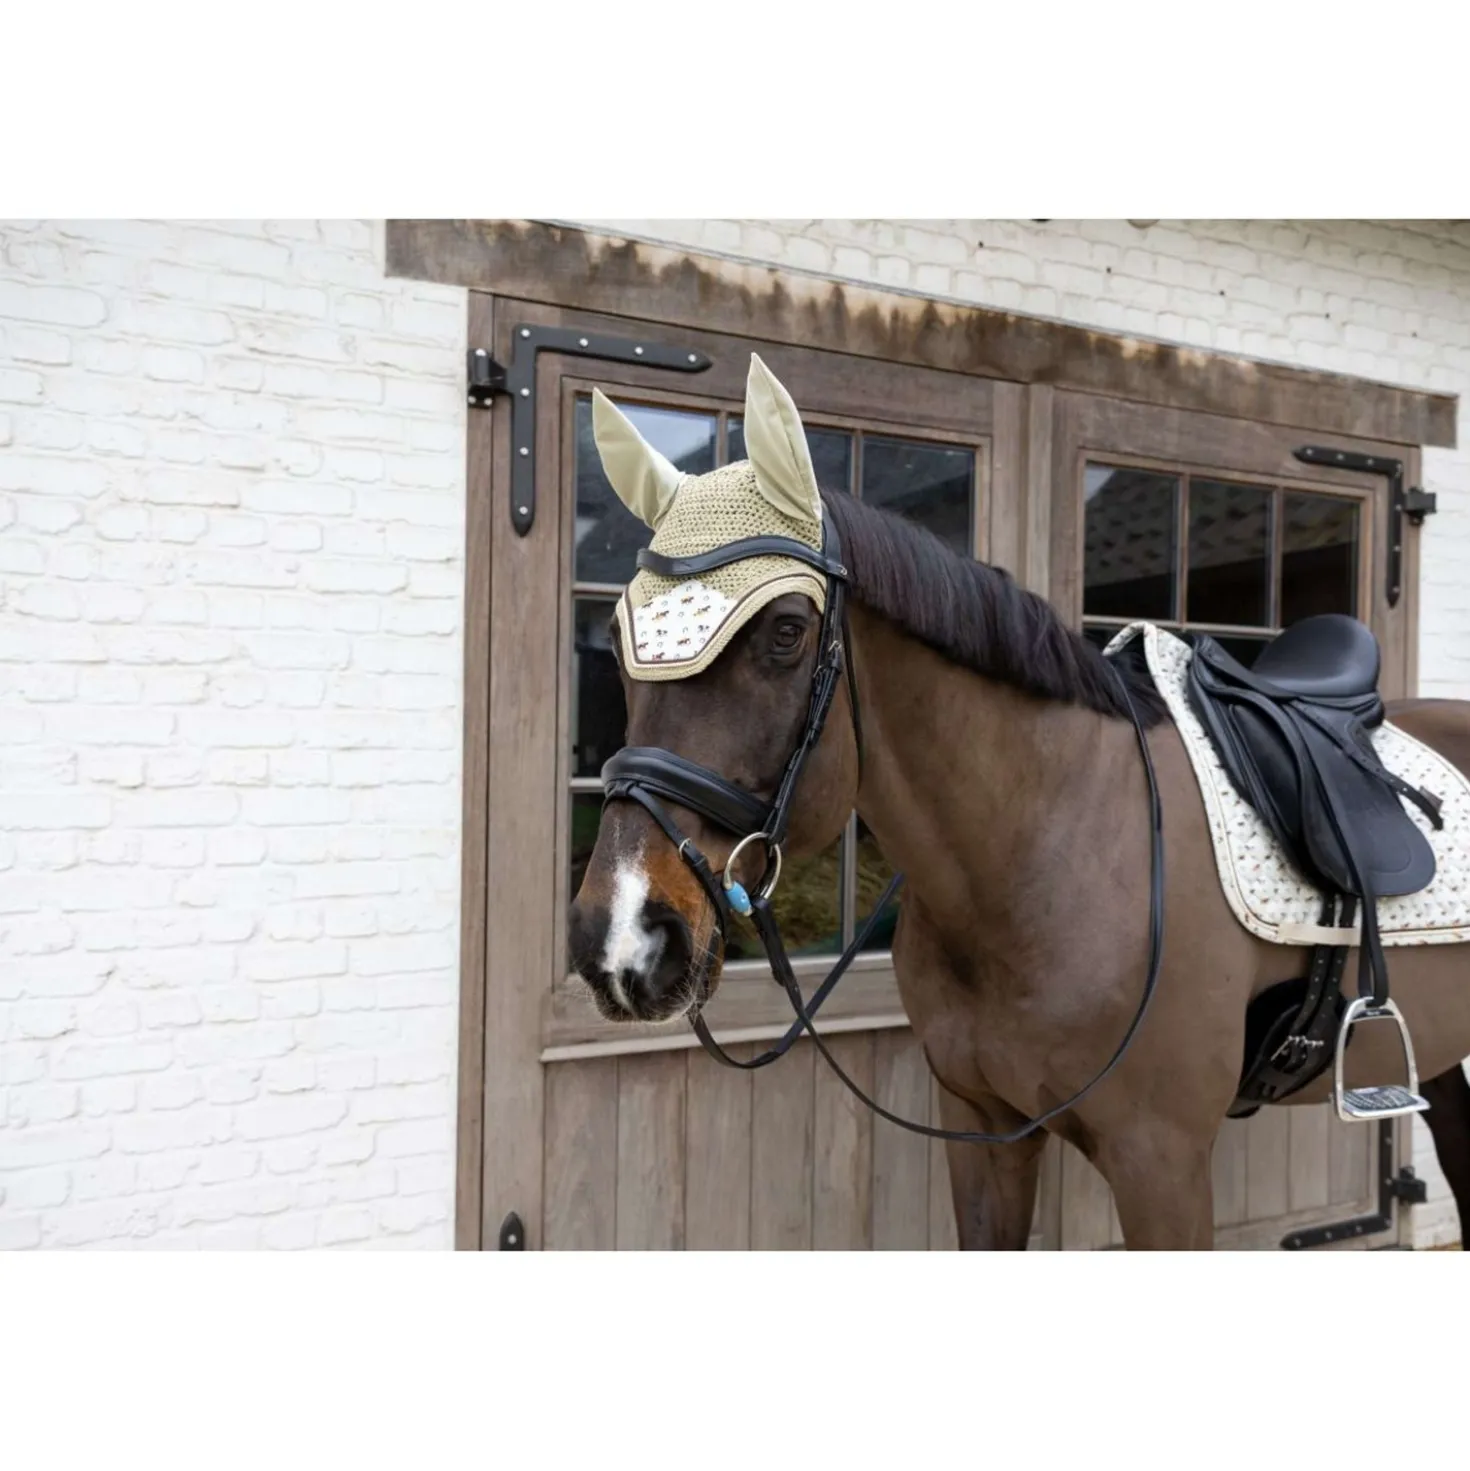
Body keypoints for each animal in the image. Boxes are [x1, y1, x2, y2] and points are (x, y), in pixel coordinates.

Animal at [567, 353, 1470, 1250]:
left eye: (787, 631)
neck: (1043, 857)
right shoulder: (983, 1131)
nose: (620, 938)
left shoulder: (1163, 1163)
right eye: (614, 637)